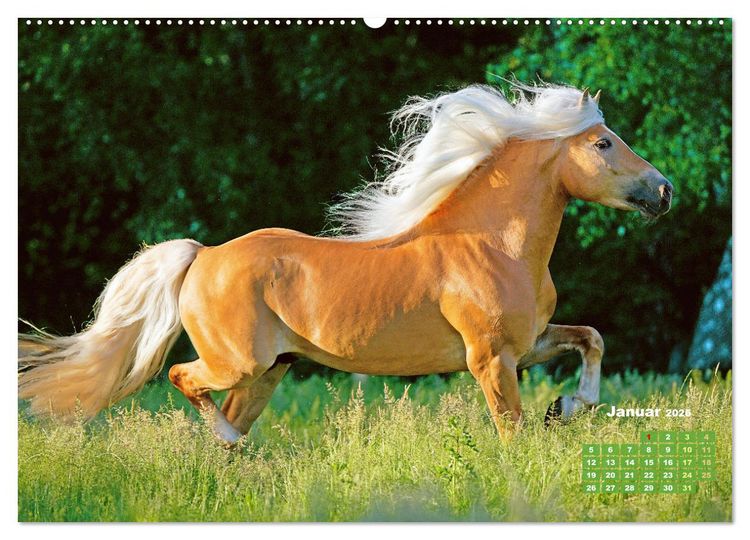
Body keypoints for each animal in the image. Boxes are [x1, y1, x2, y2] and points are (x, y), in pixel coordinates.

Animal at [18, 83, 673, 444]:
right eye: (603, 143)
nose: (664, 191)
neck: (493, 247)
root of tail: (203, 256)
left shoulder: (528, 344)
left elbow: (591, 339)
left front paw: (567, 407)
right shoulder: (490, 359)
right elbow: (512, 434)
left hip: (269, 371)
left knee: (222, 420)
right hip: (238, 363)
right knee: (185, 379)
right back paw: (231, 442)